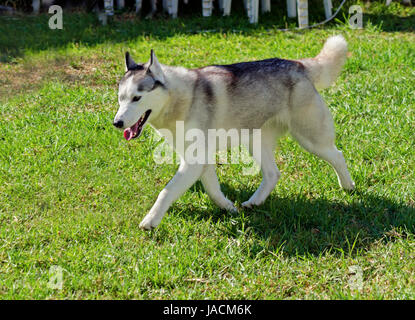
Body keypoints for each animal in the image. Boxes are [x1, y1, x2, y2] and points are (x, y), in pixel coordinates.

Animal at [114, 36, 358, 229]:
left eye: (137, 98)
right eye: (120, 98)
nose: (117, 122)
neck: (181, 99)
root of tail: (297, 64)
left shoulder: (194, 160)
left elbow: (167, 191)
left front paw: (150, 220)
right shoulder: (200, 159)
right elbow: (212, 189)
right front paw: (228, 208)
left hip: (310, 139)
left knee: (338, 155)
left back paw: (348, 187)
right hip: (255, 141)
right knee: (273, 174)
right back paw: (254, 202)